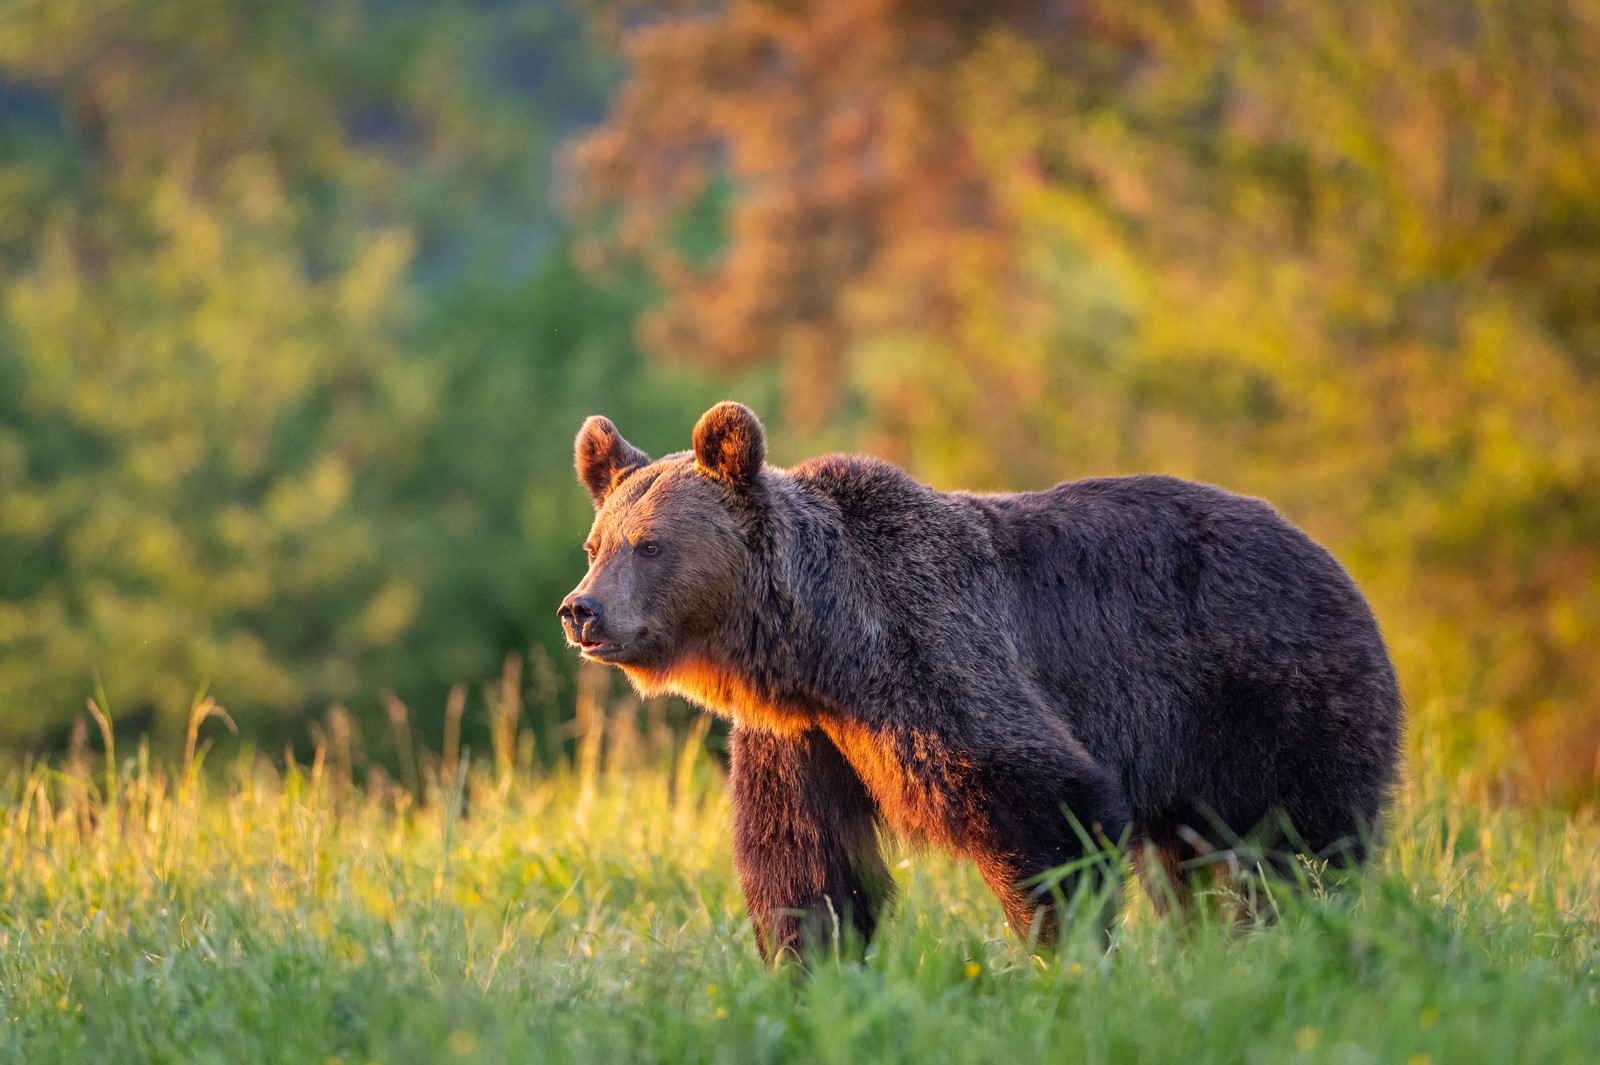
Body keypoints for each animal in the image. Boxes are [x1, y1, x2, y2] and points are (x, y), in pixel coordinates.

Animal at [559, 401, 1402, 961]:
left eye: (651, 544)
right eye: (596, 542)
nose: (581, 610)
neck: (824, 648)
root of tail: (1331, 561)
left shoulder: (936, 665)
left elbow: (1045, 805)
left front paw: (1062, 952)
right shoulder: (803, 737)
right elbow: (803, 861)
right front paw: (815, 966)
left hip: (1268, 699)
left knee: (1301, 839)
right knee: (1192, 861)